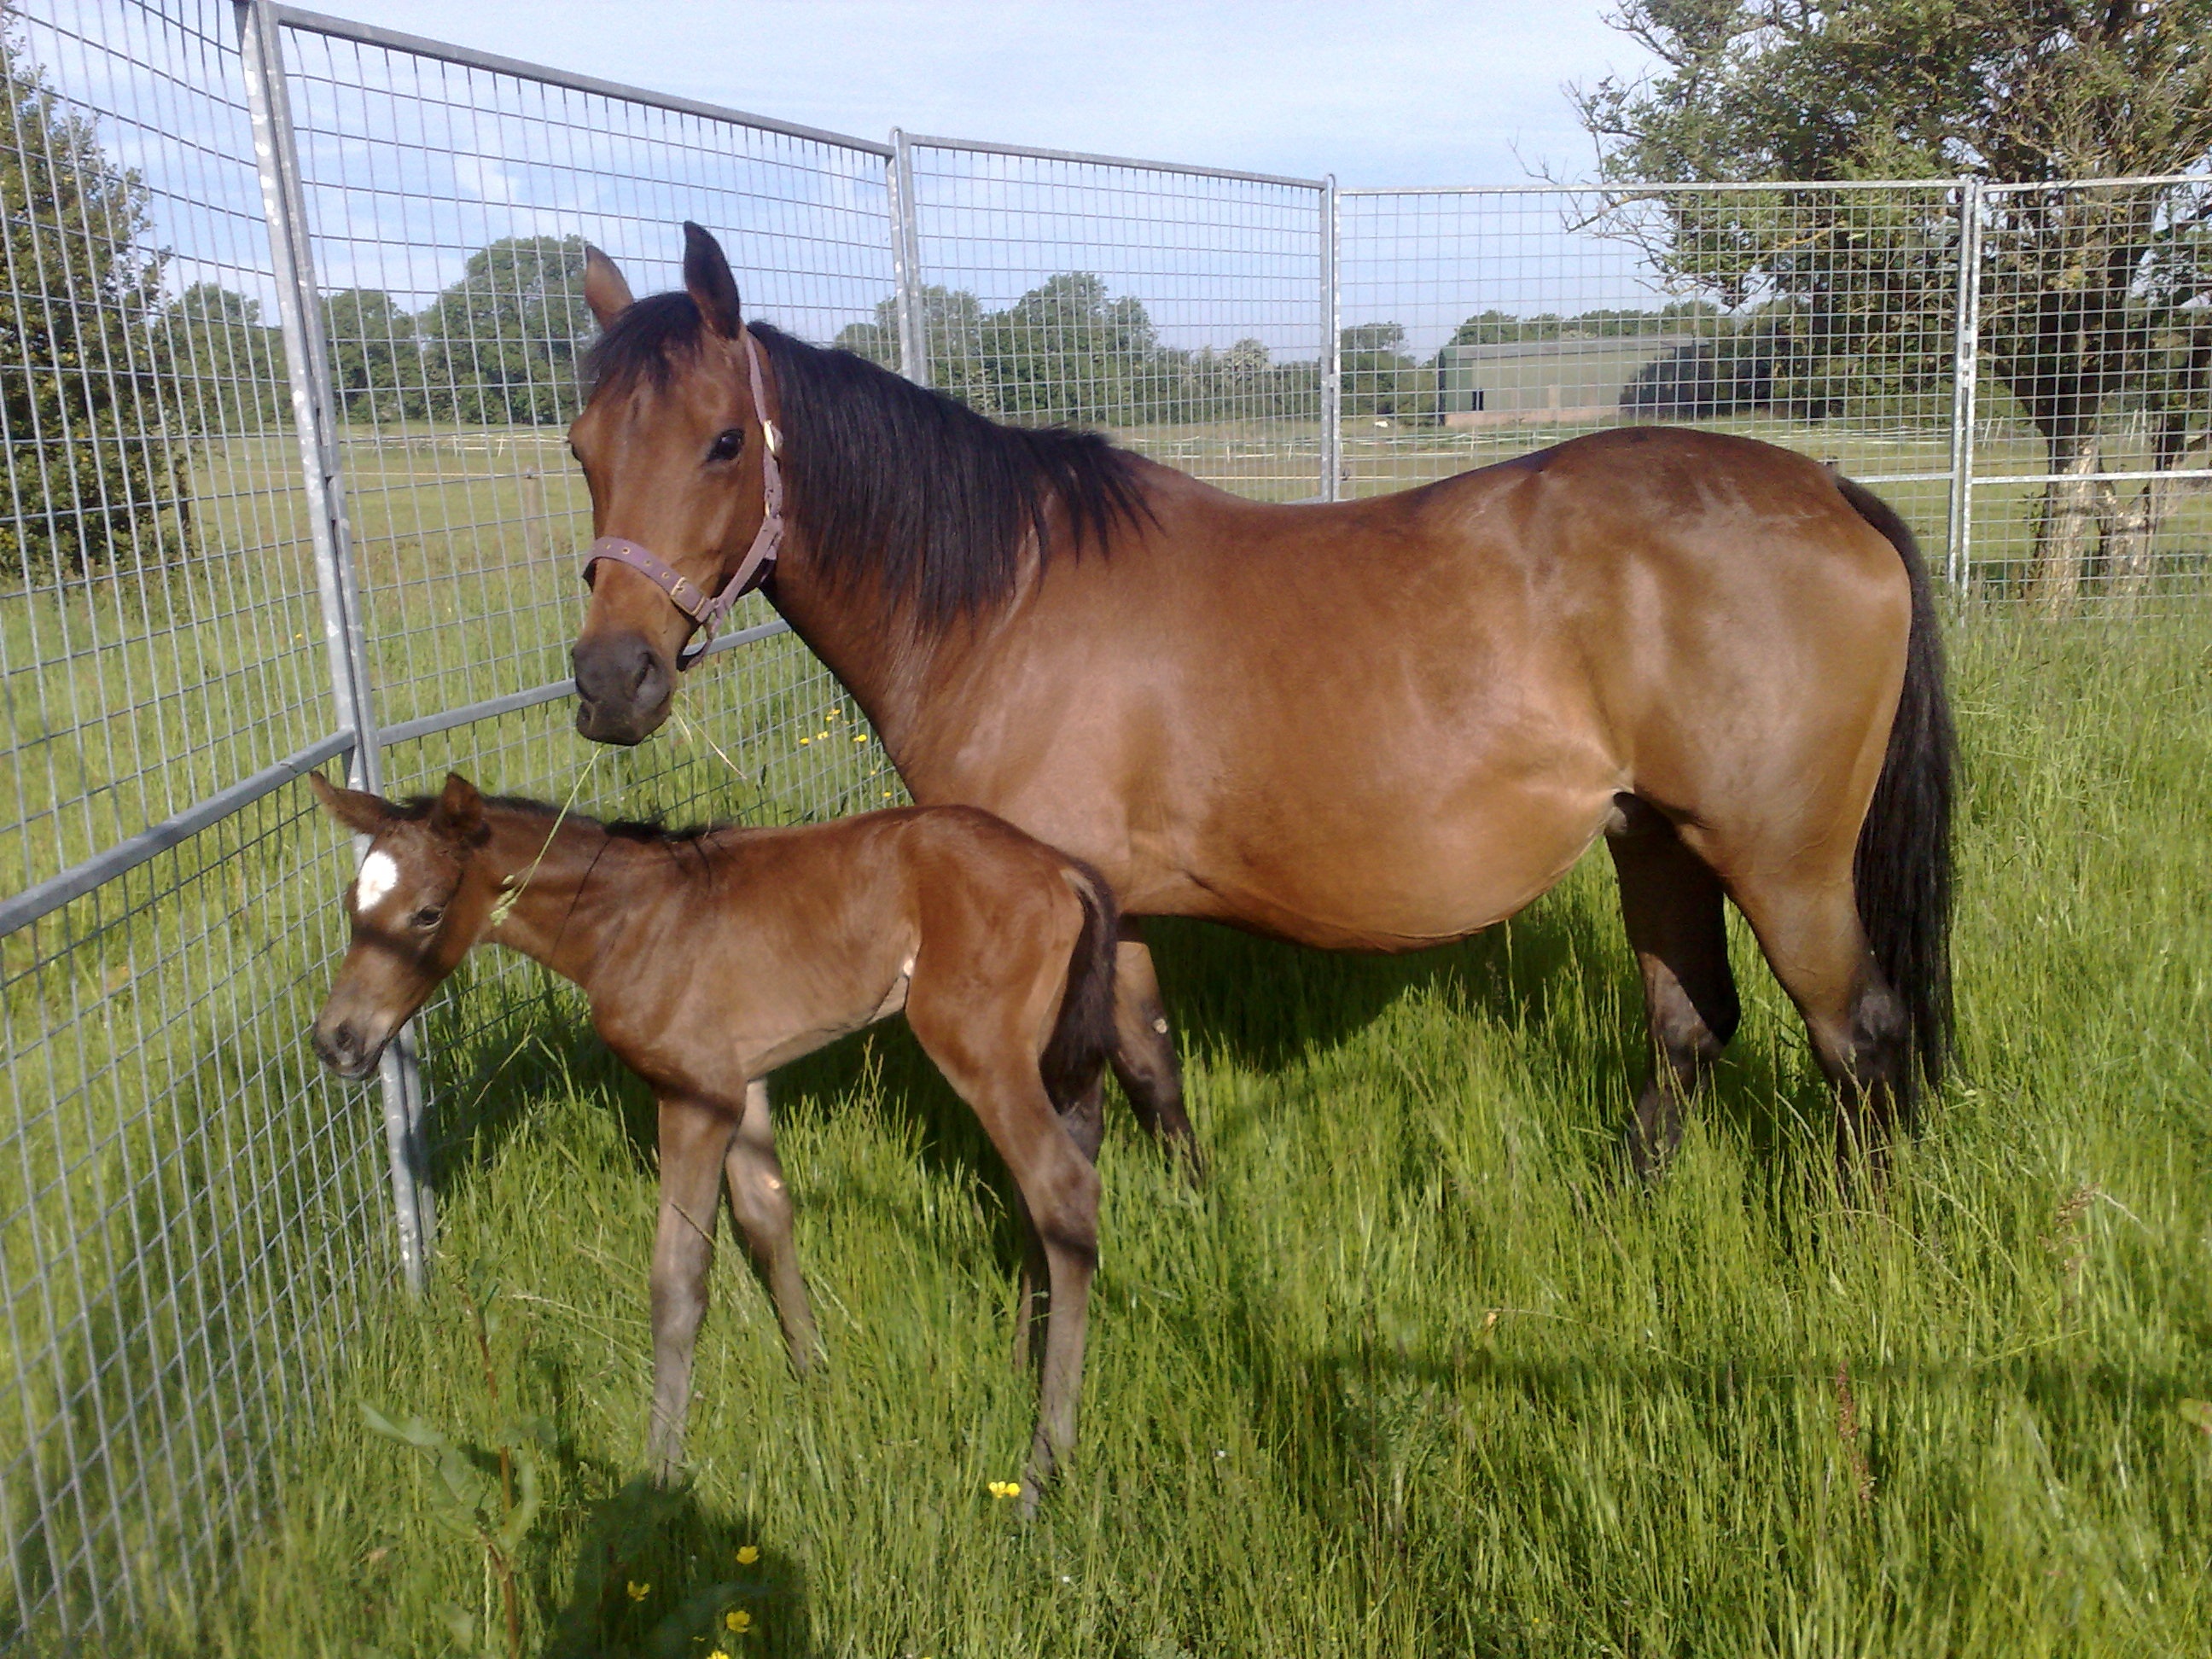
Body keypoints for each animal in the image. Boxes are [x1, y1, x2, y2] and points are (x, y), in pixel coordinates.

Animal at [303, 774, 1115, 1504]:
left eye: (428, 912)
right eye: (351, 905)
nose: (338, 1041)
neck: (631, 923)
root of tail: (1059, 867)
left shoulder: (694, 1098)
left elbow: (678, 1278)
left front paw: (661, 1472)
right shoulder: (743, 1085)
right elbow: (767, 1217)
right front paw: (814, 1380)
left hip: (980, 1051)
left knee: (1064, 1190)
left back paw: (1044, 1465)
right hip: (1032, 1058)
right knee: (1036, 1201)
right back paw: (1020, 1364)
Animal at [566, 224, 1955, 1185]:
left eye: (725, 444)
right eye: (581, 448)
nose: (609, 681)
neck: (1004, 598)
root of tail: (1832, 491)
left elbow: (1074, 1094)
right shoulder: (1109, 902)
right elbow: (1148, 1060)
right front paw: (1189, 1212)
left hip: (1780, 862)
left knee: (1860, 1038)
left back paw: (1851, 1236)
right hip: (1655, 838)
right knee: (1691, 1026)